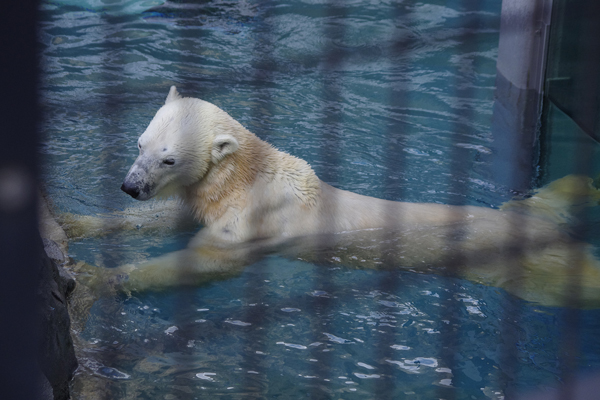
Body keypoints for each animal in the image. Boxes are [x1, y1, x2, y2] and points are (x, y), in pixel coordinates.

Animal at [97, 86, 600, 308]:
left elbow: (208, 261)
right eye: (139, 144)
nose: (131, 186)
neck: (247, 176)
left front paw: (102, 278)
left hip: (524, 266)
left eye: (167, 159)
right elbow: (171, 220)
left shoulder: (253, 222)